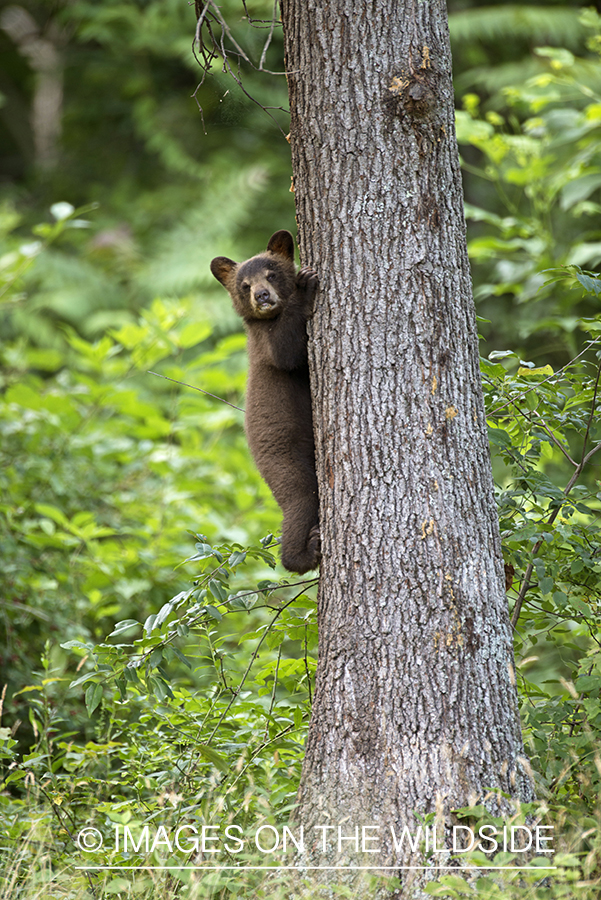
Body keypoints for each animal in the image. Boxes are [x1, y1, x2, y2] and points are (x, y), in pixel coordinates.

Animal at [210, 230, 321, 575]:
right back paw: (305, 553)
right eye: (244, 285)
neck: (268, 319)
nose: (261, 295)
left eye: (271, 274)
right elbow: (287, 352)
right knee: (300, 500)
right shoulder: (265, 343)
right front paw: (305, 286)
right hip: (285, 463)